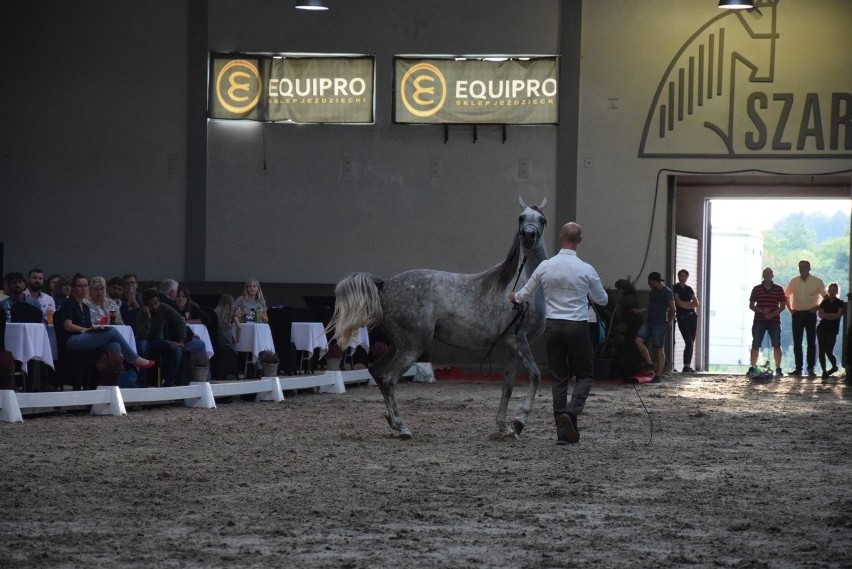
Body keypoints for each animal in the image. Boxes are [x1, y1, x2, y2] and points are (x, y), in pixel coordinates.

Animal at [330, 196, 548, 440]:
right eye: (521, 218)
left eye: (542, 220)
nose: (528, 236)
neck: (520, 288)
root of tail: (384, 284)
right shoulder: (519, 340)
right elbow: (536, 376)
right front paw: (519, 422)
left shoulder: (511, 347)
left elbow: (507, 386)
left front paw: (505, 427)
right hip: (413, 347)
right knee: (388, 378)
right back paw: (402, 427)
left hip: (398, 345)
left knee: (377, 371)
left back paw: (393, 423)